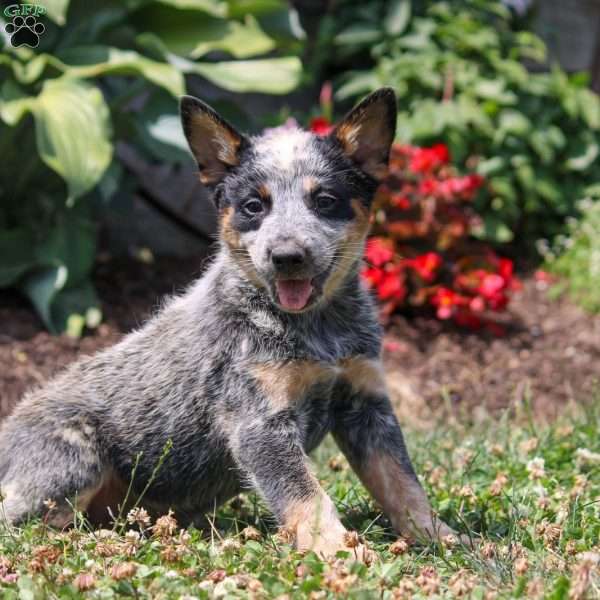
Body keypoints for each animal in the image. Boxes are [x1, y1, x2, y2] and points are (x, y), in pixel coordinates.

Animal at [0, 86, 454, 556]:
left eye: (325, 201)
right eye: (254, 206)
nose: (287, 256)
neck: (316, 329)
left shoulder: (366, 404)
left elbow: (402, 482)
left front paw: (438, 536)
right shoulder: (259, 425)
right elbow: (309, 498)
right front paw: (341, 554)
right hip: (75, 461)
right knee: (20, 521)